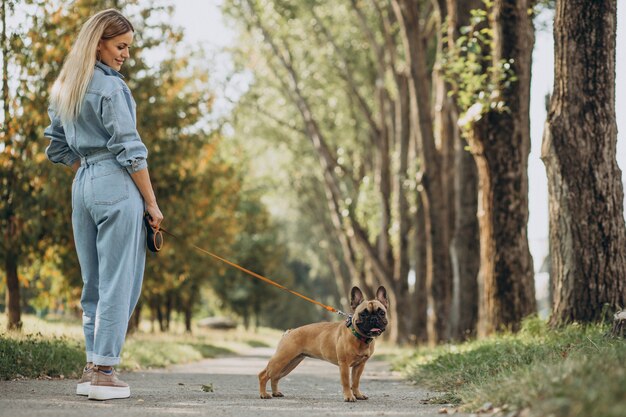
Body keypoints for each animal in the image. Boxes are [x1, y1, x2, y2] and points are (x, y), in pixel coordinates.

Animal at [258, 286, 386, 400]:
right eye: (363, 314)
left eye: (382, 313)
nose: (374, 318)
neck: (359, 337)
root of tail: (290, 331)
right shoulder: (344, 364)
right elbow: (346, 382)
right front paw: (349, 397)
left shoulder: (359, 365)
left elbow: (355, 382)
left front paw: (358, 395)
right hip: (281, 359)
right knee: (263, 375)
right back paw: (264, 394)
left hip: (290, 363)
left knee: (275, 377)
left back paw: (275, 393)